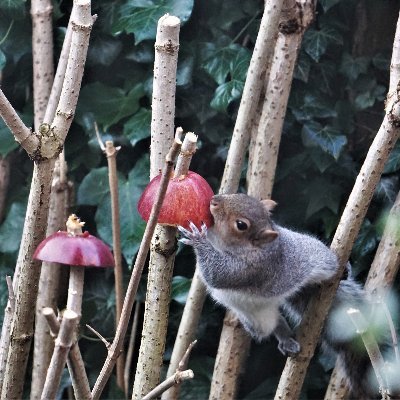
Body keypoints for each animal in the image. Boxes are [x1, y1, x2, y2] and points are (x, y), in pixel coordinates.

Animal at [180, 193, 376, 396]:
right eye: (241, 195)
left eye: (241, 225)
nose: (215, 200)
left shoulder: (250, 269)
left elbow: (215, 274)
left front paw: (198, 239)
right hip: (258, 318)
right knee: (275, 324)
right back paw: (286, 340)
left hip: (318, 259)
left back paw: (344, 269)